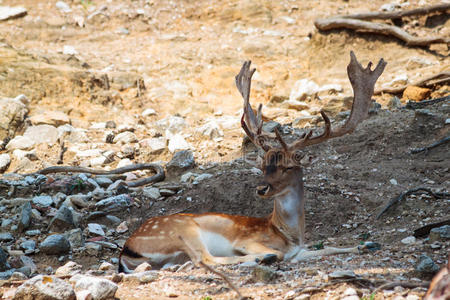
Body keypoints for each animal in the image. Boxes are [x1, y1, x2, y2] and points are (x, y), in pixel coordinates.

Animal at [119, 51, 386, 272]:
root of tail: (126, 250)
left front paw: (367, 244)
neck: (288, 234)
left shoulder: (301, 250)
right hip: (184, 231)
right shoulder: (248, 240)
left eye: (288, 166)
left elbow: (328, 248)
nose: (261, 188)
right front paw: (266, 255)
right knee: (205, 259)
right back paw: (262, 259)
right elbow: (277, 252)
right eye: (263, 166)